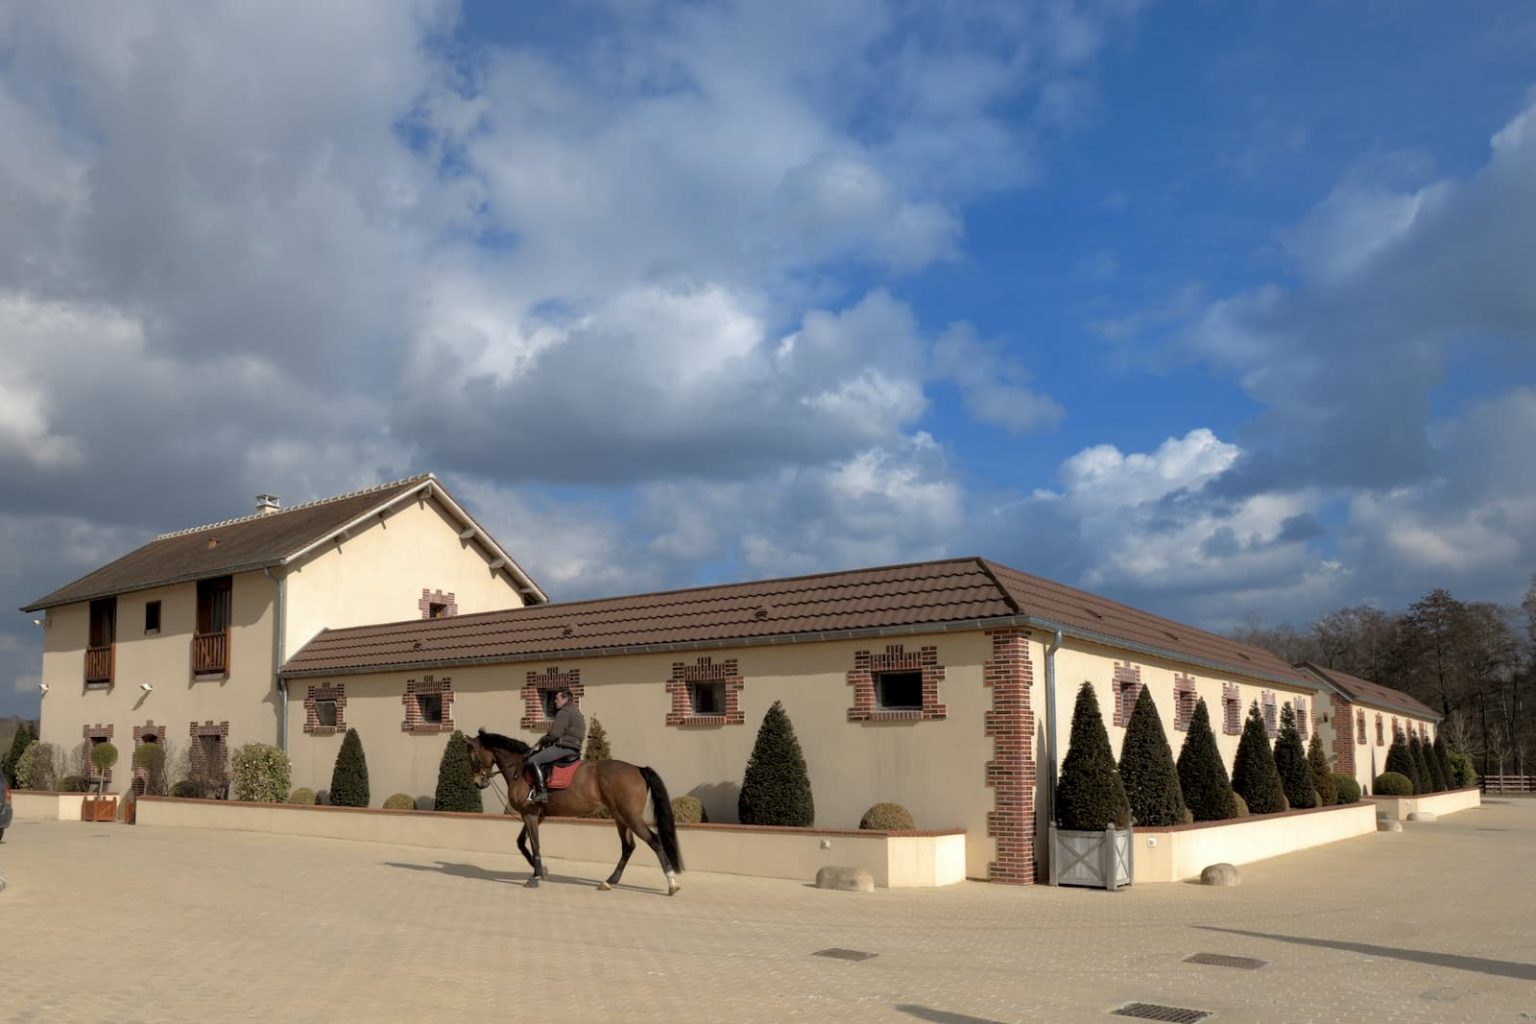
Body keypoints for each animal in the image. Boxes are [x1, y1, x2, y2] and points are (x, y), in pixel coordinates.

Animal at [463, 727, 688, 896]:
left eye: (473, 757)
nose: (478, 782)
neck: (521, 768)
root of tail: (638, 769)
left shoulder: (530, 815)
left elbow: (534, 844)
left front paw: (536, 875)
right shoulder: (537, 815)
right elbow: (521, 842)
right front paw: (540, 870)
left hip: (630, 817)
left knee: (654, 841)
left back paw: (672, 883)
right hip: (620, 817)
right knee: (628, 847)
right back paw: (610, 881)